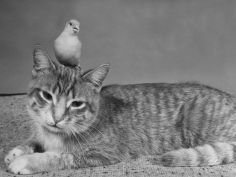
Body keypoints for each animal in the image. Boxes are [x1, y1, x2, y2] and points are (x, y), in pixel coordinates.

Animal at [3, 47, 236, 174]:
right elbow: (33, 140)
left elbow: (58, 155)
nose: (56, 118)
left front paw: (27, 160)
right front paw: (19, 150)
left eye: (76, 104)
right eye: (47, 96)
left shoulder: (101, 153)